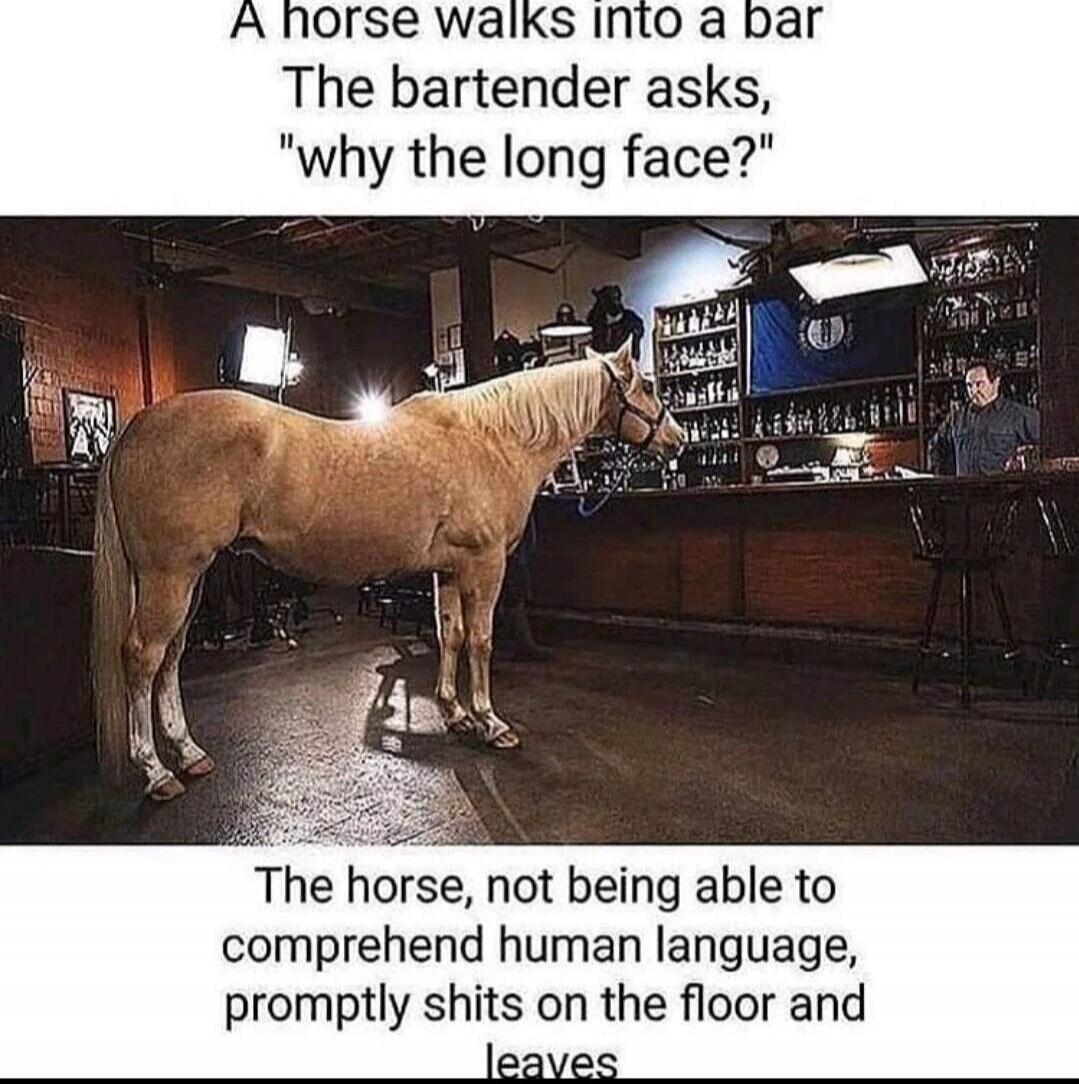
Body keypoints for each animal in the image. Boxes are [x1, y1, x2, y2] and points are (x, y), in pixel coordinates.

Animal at [91, 338, 685, 801]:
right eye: (647, 386)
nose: (677, 441)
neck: (491, 440)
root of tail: (136, 427)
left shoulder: (450, 570)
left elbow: (450, 635)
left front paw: (455, 713)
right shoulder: (485, 565)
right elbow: (481, 642)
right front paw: (491, 723)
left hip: (188, 581)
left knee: (171, 657)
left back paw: (188, 753)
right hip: (170, 577)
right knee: (143, 658)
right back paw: (156, 771)